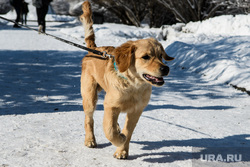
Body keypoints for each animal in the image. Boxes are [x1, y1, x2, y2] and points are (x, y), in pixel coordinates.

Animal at [80, 0, 174, 159]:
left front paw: (122, 150)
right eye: (146, 57)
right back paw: (90, 140)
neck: (133, 86)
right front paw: (119, 140)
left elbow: (128, 131)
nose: (165, 69)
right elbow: (109, 130)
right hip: (89, 96)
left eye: (161, 56)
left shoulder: (136, 110)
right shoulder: (110, 106)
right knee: (89, 119)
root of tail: (94, 49)